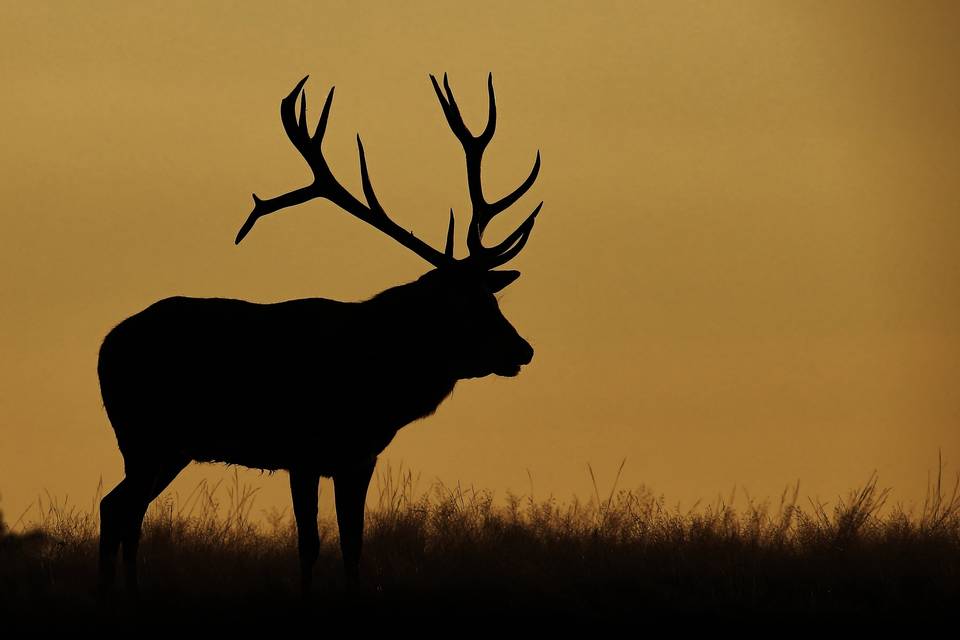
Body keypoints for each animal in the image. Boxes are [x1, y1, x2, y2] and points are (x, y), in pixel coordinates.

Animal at [98, 74, 548, 596]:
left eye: (493, 298)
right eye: (467, 306)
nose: (522, 349)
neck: (378, 379)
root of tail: (105, 346)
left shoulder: (358, 456)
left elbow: (353, 544)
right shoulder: (304, 449)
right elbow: (309, 543)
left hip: (169, 446)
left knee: (122, 509)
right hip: (144, 434)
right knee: (119, 508)